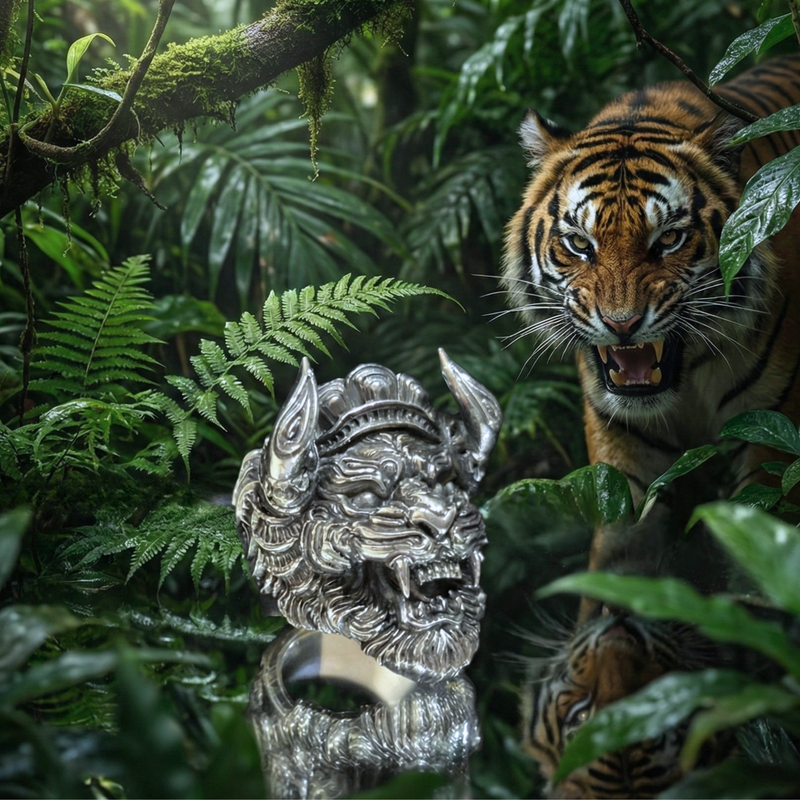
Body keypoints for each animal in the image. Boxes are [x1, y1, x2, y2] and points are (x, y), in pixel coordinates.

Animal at [502, 54, 800, 796]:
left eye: (668, 240)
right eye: (578, 245)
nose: (622, 325)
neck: (685, 375)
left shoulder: (774, 441)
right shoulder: (623, 456)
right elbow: (622, 551)